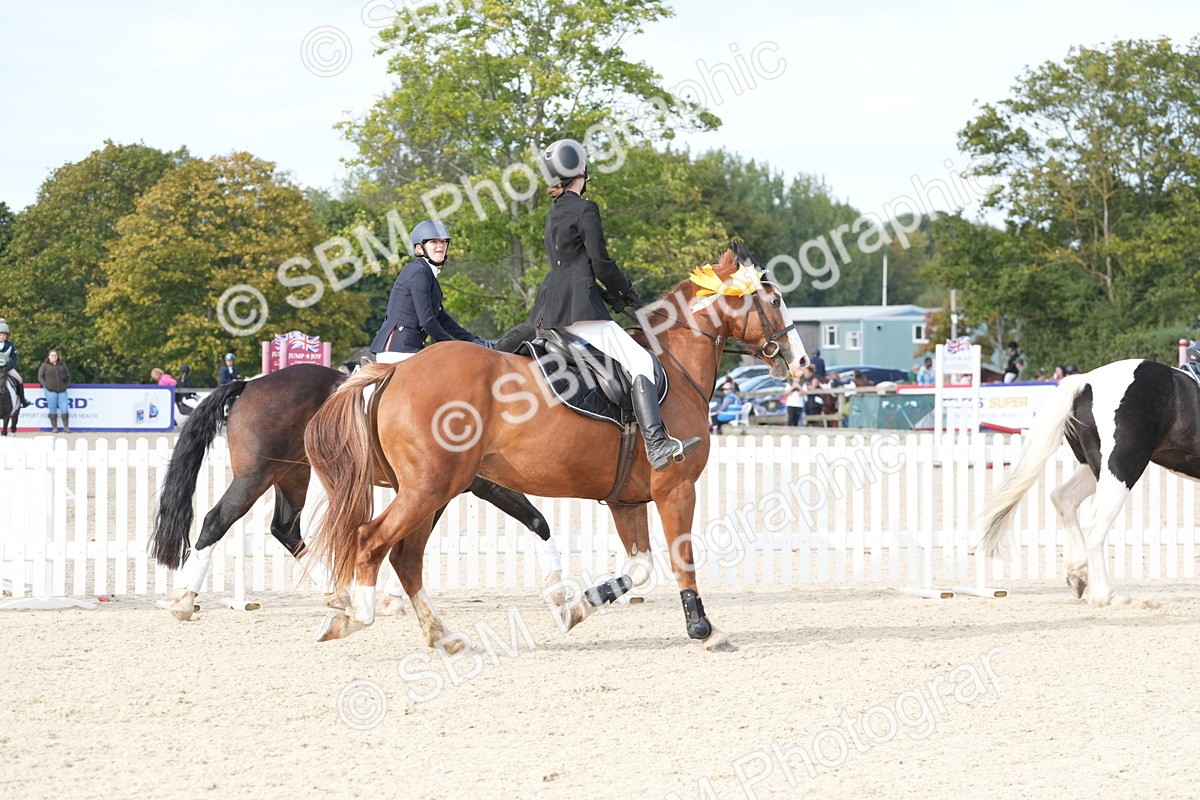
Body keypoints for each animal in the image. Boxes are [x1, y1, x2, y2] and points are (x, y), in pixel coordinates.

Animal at [149, 363, 559, 621]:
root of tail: (251, 384)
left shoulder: (439, 490)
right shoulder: (466, 486)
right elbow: (537, 520)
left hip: (293, 474)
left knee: (285, 529)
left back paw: (336, 594)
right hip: (255, 476)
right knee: (216, 521)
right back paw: (183, 600)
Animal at [304, 244, 808, 652]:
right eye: (775, 299)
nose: (800, 361)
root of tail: (396, 370)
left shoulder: (626, 501)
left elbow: (640, 568)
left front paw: (575, 608)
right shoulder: (676, 489)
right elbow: (682, 559)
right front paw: (703, 628)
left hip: (434, 491)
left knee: (405, 557)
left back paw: (439, 636)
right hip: (428, 489)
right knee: (371, 540)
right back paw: (358, 615)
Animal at [981, 357, 1200, 606]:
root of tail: (1085, 382)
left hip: (1095, 468)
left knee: (1063, 499)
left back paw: (1078, 573)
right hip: (1122, 468)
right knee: (1095, 527)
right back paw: (1106, 595)